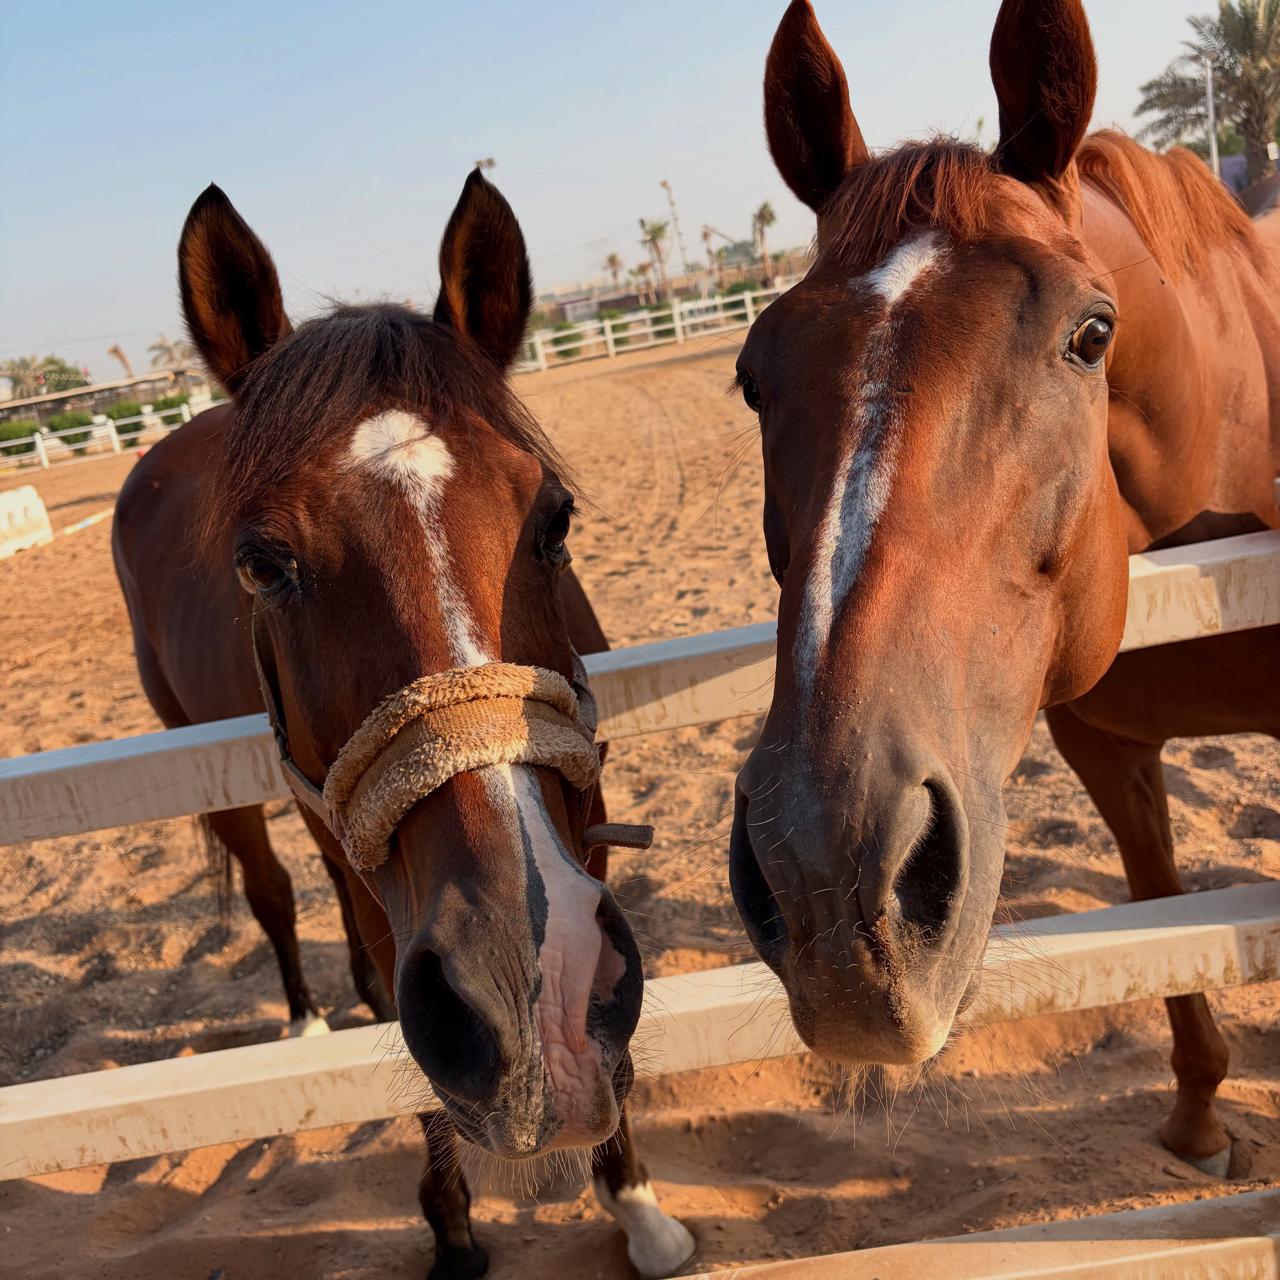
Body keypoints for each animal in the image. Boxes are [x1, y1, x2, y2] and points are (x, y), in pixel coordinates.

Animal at [112, 172, 694, 1280]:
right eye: (261, 561)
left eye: (554, 518)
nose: (528, 986)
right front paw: (452, 1226)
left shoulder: (585, 823)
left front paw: (637, 1202)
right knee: (274, 893)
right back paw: (306, 1021)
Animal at [728, 0, 1280, 1178]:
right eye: (751, 374)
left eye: (1091, 334)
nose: (824, 868)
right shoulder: (1103, 748)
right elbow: (1157, 915)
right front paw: (1198, 1114)